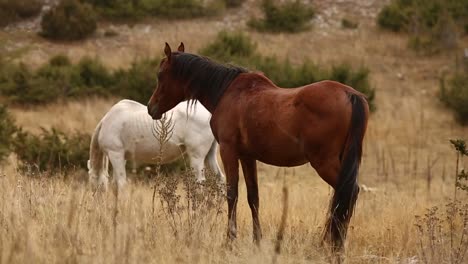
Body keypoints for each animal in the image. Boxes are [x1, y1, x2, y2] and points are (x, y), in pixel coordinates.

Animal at [88, 99, 227, 190]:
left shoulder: (116, 155)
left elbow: (120, 184)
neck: (107, 122)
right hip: (209, 155)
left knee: (199, 184)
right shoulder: (122, 158)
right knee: (220, 179)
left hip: (196, 157)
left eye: (93, 185)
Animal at [148, 42, 368, 251]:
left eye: (160, 75)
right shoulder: (247, 156)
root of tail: (350, 94)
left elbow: (232, 194)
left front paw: (230, 240)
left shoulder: (228, 151)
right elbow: (253, 197)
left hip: (324, 162)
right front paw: (257, 240)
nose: (151, 108)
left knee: (347, 192)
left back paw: (334, 245)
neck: (227, 92)